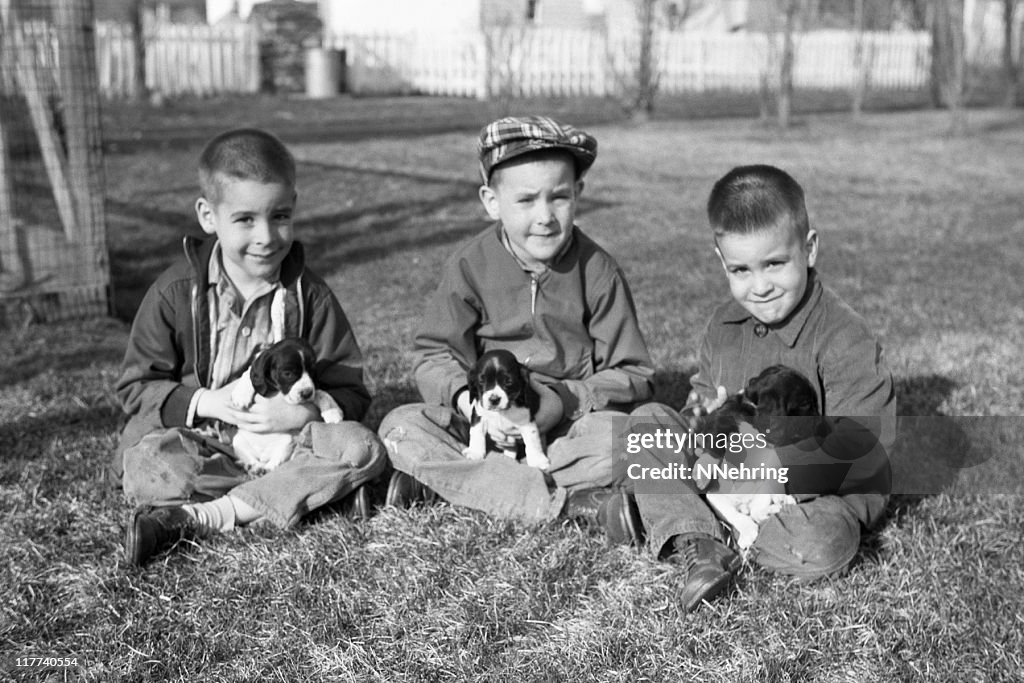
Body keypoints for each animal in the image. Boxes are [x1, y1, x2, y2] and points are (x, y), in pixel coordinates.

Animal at [229, 337, 344, 475]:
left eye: (312, 371)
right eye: (288, 373)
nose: (306, 393)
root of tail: (264, 457)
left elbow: (321, 393)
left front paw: (333, 412)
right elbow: (248, 373)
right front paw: (241, 394)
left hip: (287, 441)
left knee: (274, 463)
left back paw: (263, 469)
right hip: (238, 441)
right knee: (251, 459)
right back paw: (252, 467)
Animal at [692, 366, 819, 552]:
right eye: (805, 404)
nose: (822, 423)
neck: (753, 410)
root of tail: (744, 504)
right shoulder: (719, 419)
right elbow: (714, 442)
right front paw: (701, 473)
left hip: (762, 491)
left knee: (756, 513)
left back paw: (778, 504)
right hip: (715, 498)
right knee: (740, 517)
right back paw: (748, 532)